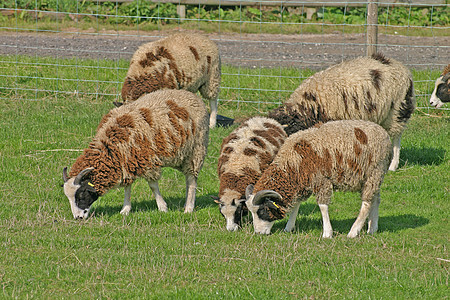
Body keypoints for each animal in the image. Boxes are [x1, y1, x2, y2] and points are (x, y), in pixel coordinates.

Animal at [62, 88, 209, 218]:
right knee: (188, 180)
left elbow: (153, 186)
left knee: (192, 179)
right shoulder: (127, 161)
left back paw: (189, 208)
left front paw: (162, 207)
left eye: (81, 195)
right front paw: (125, 209)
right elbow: (127, 187)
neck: (109, 144)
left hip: (196, 150)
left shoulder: (149, 160)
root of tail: (193, 96)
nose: (78, 218)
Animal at [244, 118, 392, 238]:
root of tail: (384, 134)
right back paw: (372, 228)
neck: (292, 163)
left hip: (374, 172)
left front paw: (327, 233)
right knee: (376, 199)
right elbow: (296, 204)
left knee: (366, 203)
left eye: (262, 210)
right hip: (374, 176)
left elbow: (322, 207)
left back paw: (353, 232)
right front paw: (289, 227)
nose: (258, 233)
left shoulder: (321, 180)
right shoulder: (301, 183)